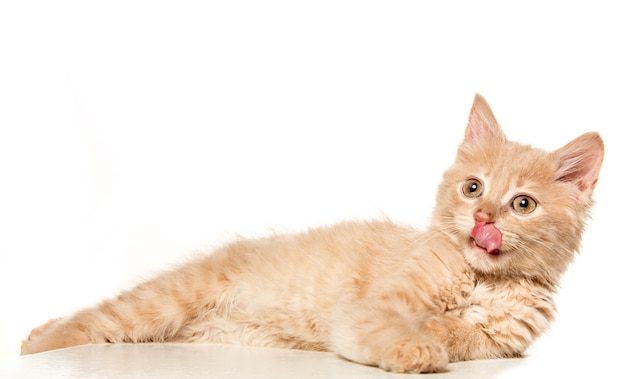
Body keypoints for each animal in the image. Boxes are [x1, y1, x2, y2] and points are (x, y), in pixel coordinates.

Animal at [19, 95, 604, 374]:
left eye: (522, 204)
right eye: (472, 187)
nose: (483, 219)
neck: (483, 280)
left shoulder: (497, 343)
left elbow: (455, 333)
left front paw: (435, 335)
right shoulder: (369, 309)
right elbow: (394, 326)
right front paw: (414, 349)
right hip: (160, 302)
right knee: (89, 320)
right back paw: (32, 344)